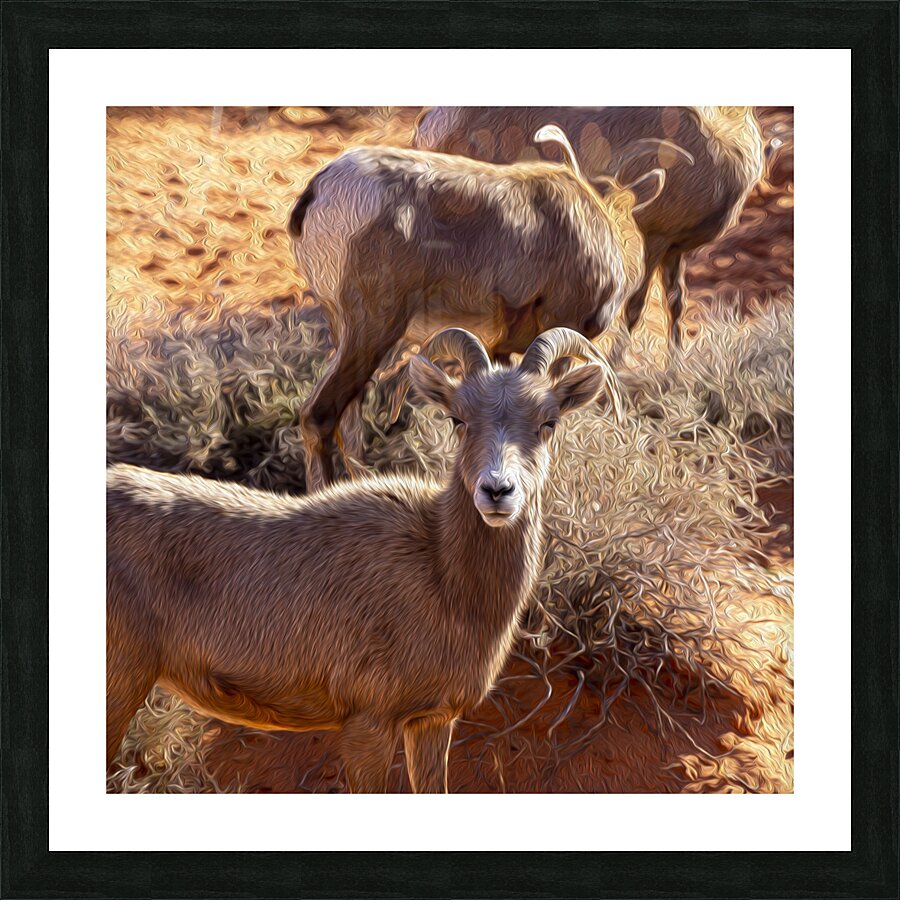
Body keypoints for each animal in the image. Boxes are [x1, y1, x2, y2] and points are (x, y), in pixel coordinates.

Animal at [107, 327, 621, 792]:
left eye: (548, 423)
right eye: (458, 420)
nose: (497, 491)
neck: (442, 577)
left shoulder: (431, 724)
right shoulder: (368, 729)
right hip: (121, 684)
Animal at [288, 133, 660, 491]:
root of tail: (321, 188)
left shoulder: (501, 348)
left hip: (346, 332)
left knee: (349, 422)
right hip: (372, 330)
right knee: (320, 415)